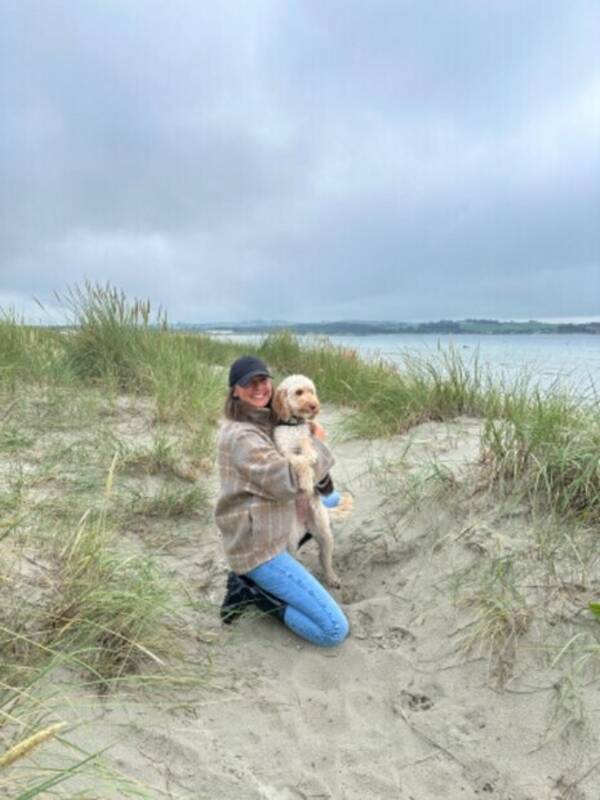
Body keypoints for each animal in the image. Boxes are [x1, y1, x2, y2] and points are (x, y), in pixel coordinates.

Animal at [274, 376, 342, 588]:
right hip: (292, 539)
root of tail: (306, 524)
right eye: (298, 392)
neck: (293, 425)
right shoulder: (284, 453)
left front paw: (310, 453)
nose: (314, 406)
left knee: (324, 558)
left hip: (325, 533)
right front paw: (305, 479)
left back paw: (332, 577)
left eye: (311, 391)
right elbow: (299, 461)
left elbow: (306, 443)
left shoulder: (306, 435)